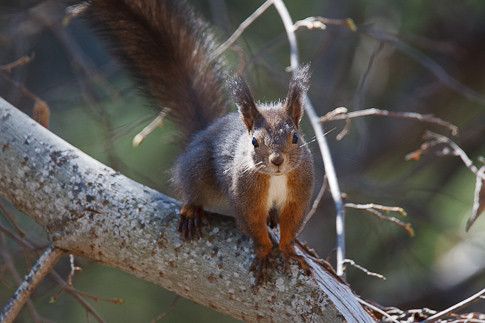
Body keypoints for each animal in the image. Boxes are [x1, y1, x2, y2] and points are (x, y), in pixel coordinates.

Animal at [83, 0, 314, 284]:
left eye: (295, 137)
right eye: (255, 142)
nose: (278, 160)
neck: (276, 178)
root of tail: (203, 133)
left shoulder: (299, 194)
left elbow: (291, 226)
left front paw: (288, 251)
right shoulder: (245, 196)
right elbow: (252, 225)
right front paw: (263, 253)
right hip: (198, 168)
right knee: (191, 188)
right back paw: (191, 212)